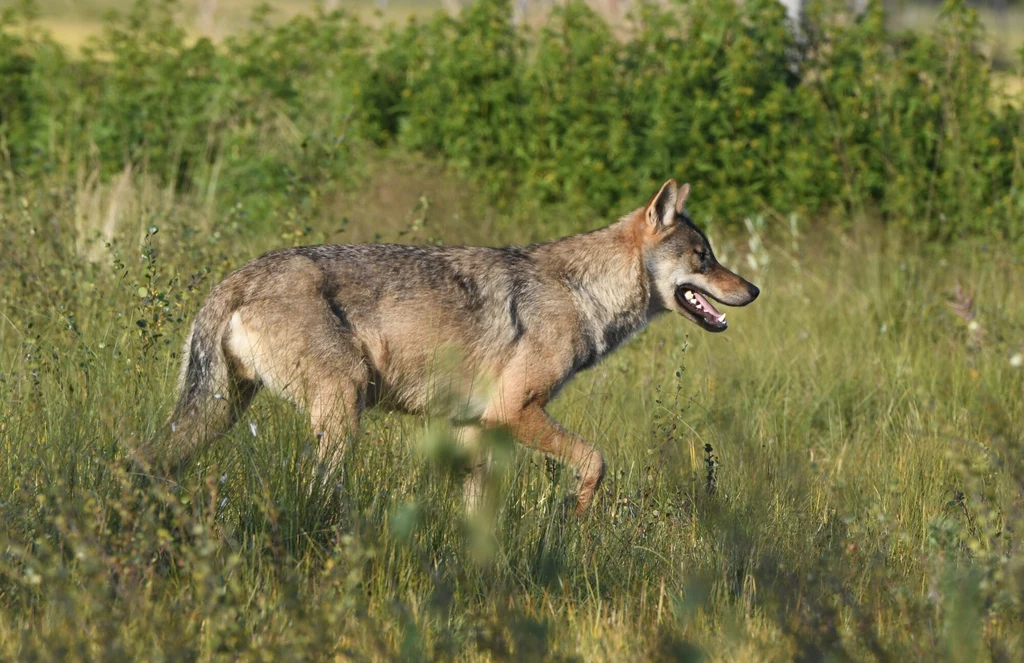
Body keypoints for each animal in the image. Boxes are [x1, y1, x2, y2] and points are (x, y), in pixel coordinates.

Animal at [153, 180, 761, 514]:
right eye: (704, 257)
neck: (582, 292)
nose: (753, 290)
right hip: (343, 404)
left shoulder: (476, 425)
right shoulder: (514, 411)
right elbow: (597, 461)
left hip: (221, 413)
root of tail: (235, 277)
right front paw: (576, 516)